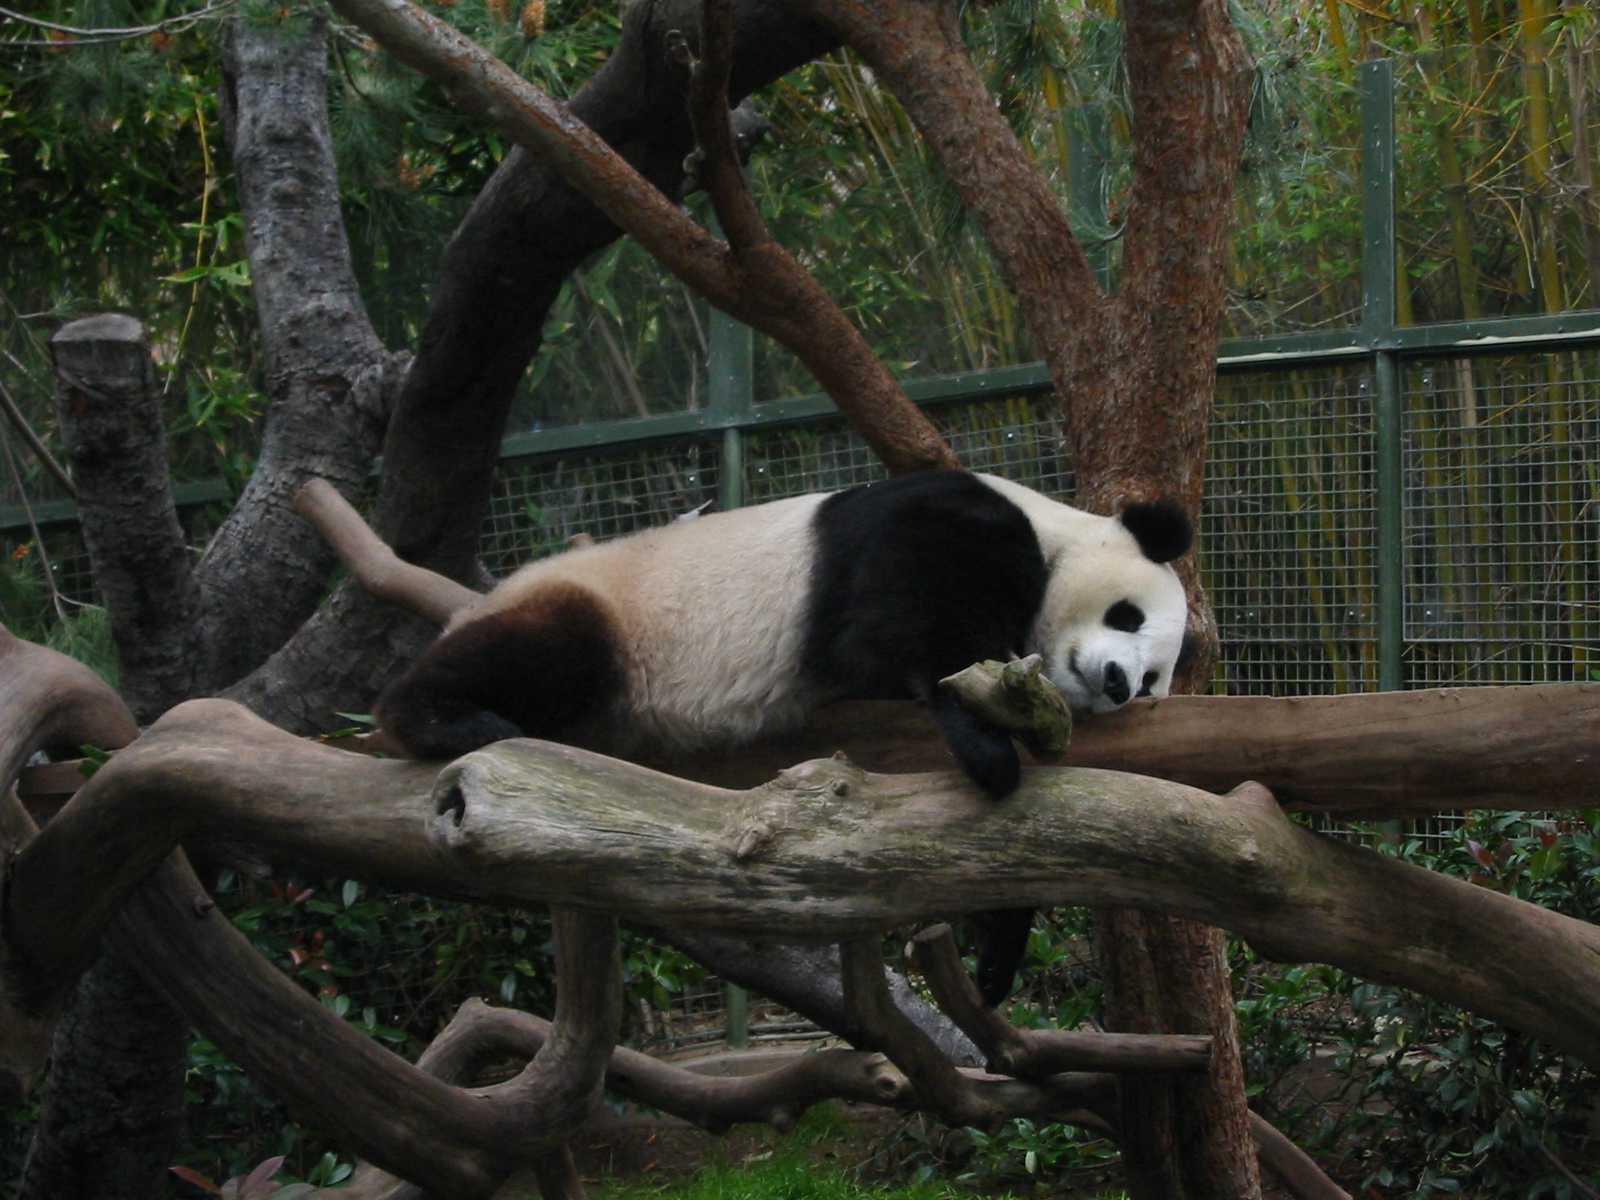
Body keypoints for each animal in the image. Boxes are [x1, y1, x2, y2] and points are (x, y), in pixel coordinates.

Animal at [377, 469, 1191, 1000]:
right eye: (1128, 616)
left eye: (1156, 680)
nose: (1117, 683)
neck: (1053, 530)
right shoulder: (942, 522)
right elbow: (908, 629)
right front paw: (988, 746)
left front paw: (995, 958)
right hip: (602, 611)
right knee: (544, 649)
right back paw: (438, 718)